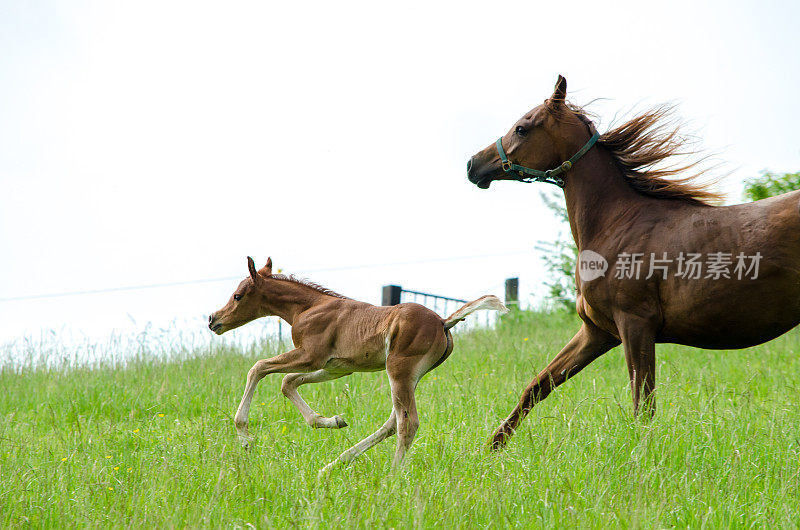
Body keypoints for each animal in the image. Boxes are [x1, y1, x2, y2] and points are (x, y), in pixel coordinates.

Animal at [208, 258, 506, 468]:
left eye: (237, 296)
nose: (213, 319)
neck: (308, 307)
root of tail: (444, 322)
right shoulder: (337, 367)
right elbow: (287, 382)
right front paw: (331, 420)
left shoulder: (310, 356)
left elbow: (258, 368)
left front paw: (245, 438)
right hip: (411, 376)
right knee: (393, 423)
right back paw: (335, 464)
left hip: (398, 371)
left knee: (407, 423)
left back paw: (392, 475)